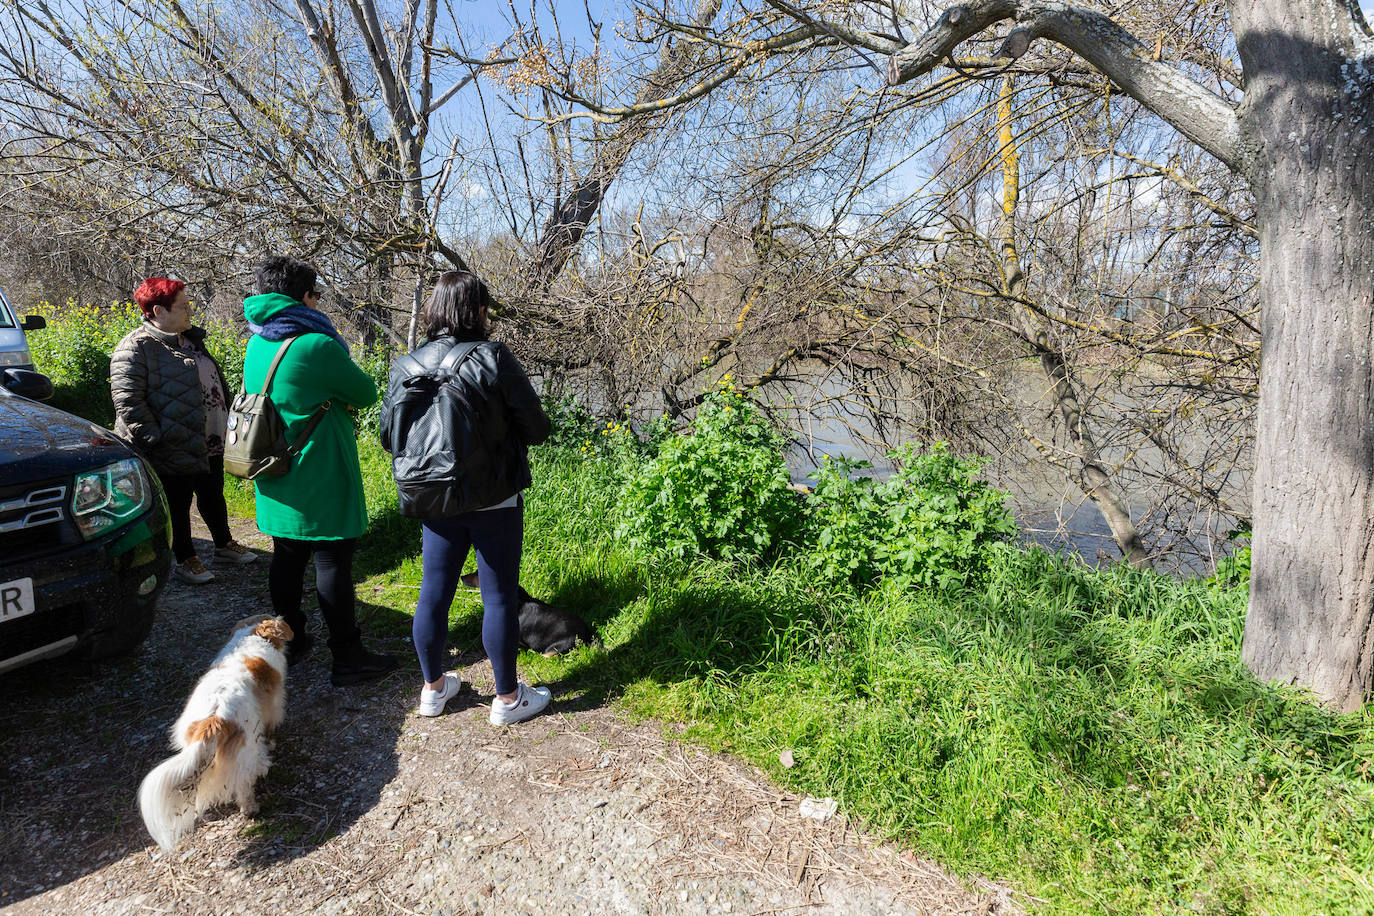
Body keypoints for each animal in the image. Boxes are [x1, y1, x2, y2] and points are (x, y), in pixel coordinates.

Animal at [138, 615, 294, 851]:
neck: (251, 635)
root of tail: (213, 718)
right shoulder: (273, 706)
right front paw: (272, 742)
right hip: (248, 751)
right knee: (244, 782)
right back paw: (251, 807)